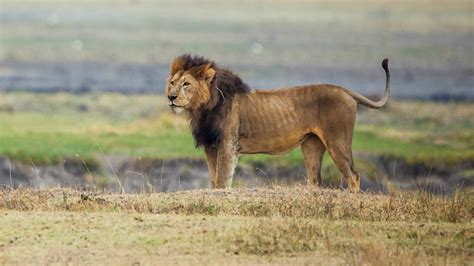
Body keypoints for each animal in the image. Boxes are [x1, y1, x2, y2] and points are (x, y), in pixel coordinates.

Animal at [165, 54, 390, 192]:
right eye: (172, 82)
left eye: (186, 84)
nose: (171, 97)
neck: (203, 108)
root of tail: (344, 89)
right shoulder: (211, 146)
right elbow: (214, 180)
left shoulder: (228, 144)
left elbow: (222, 180)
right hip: (311, 145)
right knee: (316, 179)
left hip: (337, 141)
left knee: (354, 175)